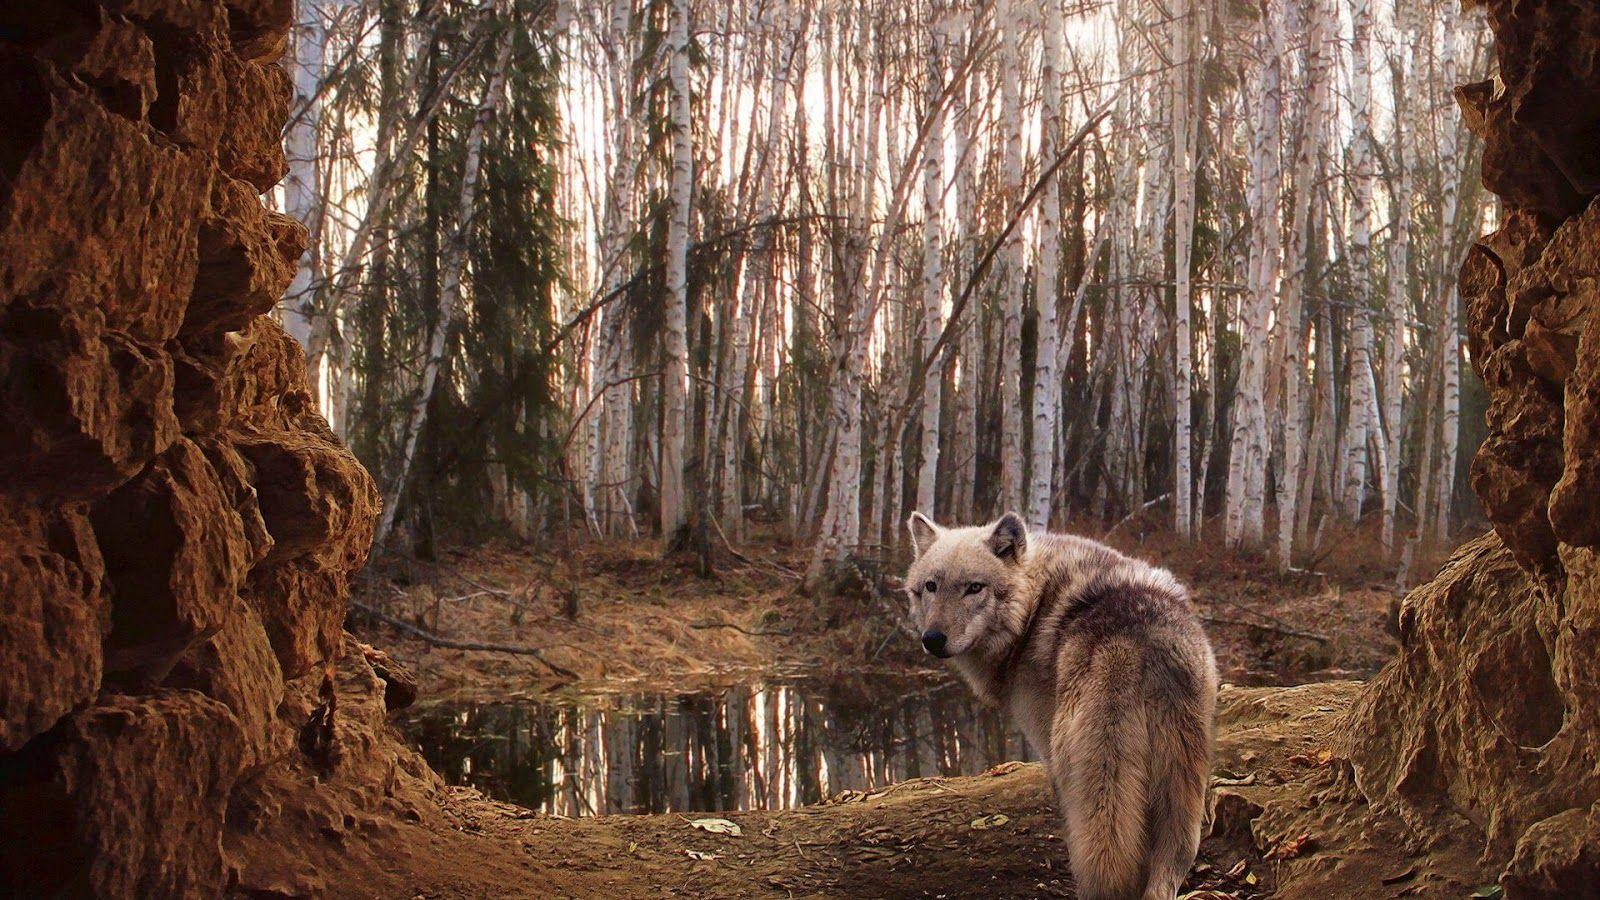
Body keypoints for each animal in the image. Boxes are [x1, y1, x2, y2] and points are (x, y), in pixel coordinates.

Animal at [903, 511, 1218, 900]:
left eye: (974, 588)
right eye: (931, 586)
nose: (932, 639)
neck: (1033, 609)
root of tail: (1137, 642)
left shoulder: (1046, 749)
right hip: (1182, 788)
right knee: (1169, 867)